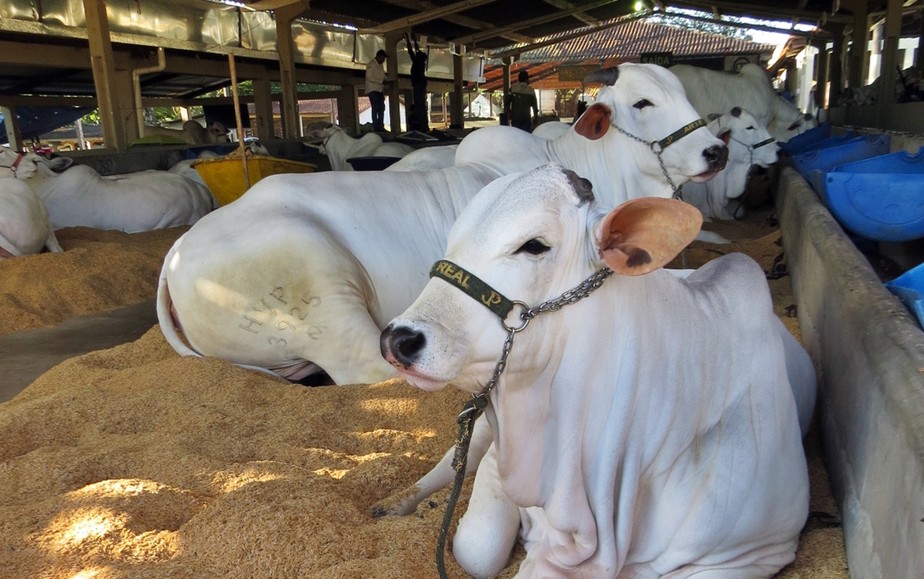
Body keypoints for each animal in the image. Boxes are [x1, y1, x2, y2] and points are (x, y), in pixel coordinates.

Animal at [155, 63, 724, 386]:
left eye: (687, 94)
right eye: (643, 102)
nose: (715, 151)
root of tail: (174, 258)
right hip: (323, 286)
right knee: (373, 368)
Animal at [378, 164, 812, 579]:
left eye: (533, 245)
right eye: (455, 237)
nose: (398, 340)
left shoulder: (754, 554)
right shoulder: (502, 465)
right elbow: (477, 550)